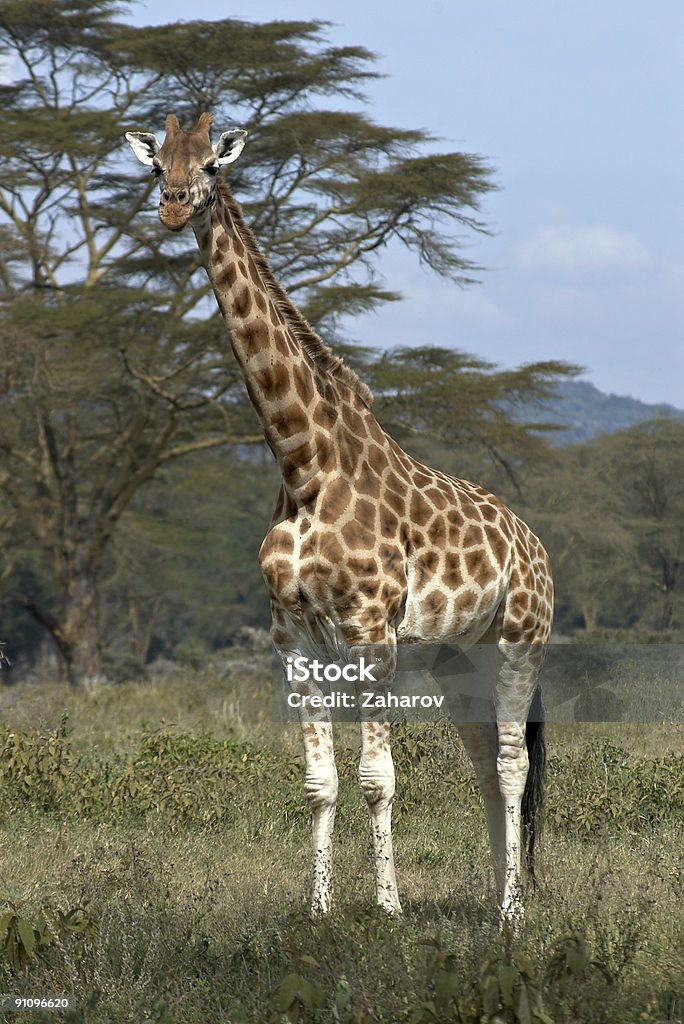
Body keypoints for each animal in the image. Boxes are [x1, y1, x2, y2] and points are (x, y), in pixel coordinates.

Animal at [126, 112, 557, 921]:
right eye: (157, 164)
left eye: (210, 165)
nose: (172, 207)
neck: (303, 465)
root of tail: (535, 544)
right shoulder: (292, 638)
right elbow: (319, 783)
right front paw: (319, 910)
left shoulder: (371, 634)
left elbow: (376, 780)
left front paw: (387, 910)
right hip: (459, 660)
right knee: (486, 766)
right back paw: (495, 900)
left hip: (521, 639)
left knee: (515, 765)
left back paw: (516, 912)